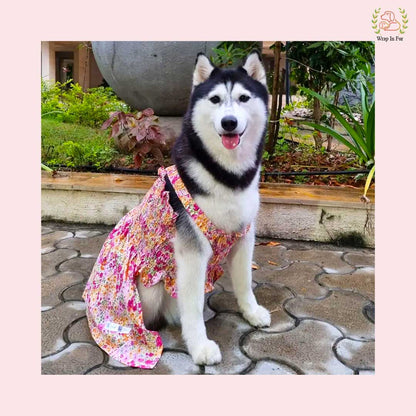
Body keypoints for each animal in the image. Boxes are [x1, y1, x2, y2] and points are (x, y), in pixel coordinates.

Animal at [138, 51, 272, 364]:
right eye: (215, 99)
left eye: (244, 98)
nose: (229, 122)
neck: (227, 176)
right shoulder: (192, 253)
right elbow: (193, 306)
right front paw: (199, 346)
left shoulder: (244, 236)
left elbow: (245, 282)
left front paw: (251, 312)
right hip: (149, 289)